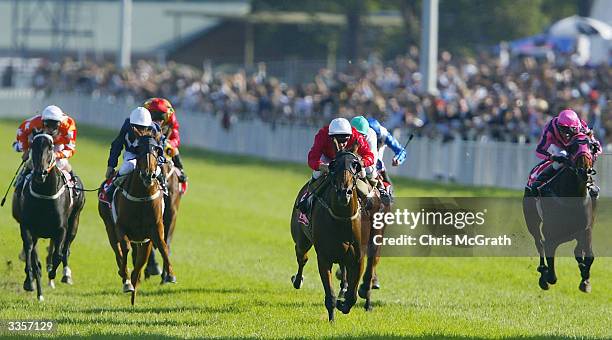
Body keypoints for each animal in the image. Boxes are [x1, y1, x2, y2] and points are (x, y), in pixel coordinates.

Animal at [13, 133, 85, 300]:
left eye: (51, 147)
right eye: (33, 146)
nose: (40, 173)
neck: (45, 195)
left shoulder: (61, 229)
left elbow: (58, 254)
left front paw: (52, 273)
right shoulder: (28, 227)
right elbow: (30, 252)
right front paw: (30, 282)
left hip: (75, 221)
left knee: (66, 249)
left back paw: (65, 274)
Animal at [97, 129, 175, 304]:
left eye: (157, 149)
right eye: (138, 149)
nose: (148, 175)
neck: (142, 196)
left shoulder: (155, 229)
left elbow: (162, 247)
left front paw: (170, 275)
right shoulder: (120, 227)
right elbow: (125, 249)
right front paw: (126, 281)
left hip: (143, 240)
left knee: (140, 260)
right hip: (109, 227)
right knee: (118, 251)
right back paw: (125, 277)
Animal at [290, 143, 364, 322]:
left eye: (356, 165)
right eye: (333, 165)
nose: (344, 192)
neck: (342, 219)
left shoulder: (358, 258)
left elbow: (352, 296)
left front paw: (343, 304)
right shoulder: (324, 258)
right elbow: (330, 295)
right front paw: (332, 320)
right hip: (301, 241)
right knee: (302, 257)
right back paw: (297, 280)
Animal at [524, 132, 596, 292]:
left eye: (591, 146)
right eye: (572, 147)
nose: (584, 170)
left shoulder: (586, 229)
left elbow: (589, 256)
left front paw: (585, 280)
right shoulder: (551, 235)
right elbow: (552, 274)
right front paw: (545, 275)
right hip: (532, 221)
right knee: (538, 242)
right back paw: (542, 272)